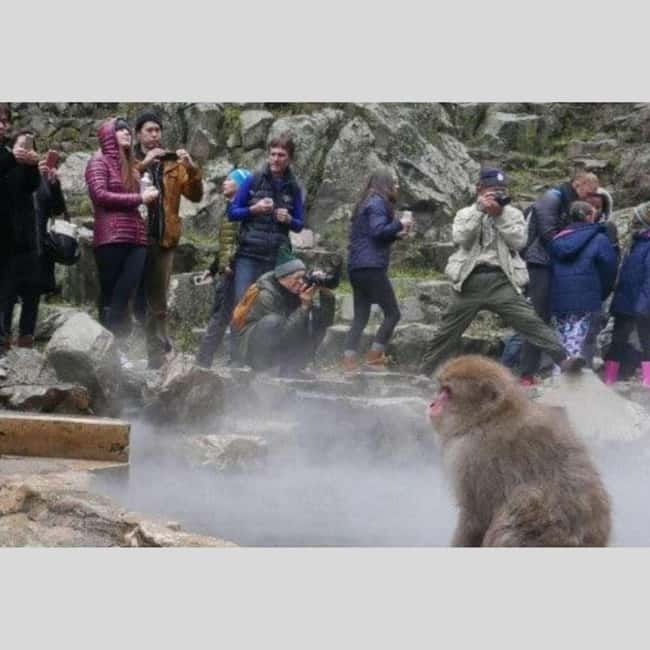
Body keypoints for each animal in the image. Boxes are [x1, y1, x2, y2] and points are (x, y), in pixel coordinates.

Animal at [428, 355, 611, 547]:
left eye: (447, 392)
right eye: (441, 389)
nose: (432, 404)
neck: (488, 418)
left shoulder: (471, 456)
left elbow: (476, 517)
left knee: (523, 500)